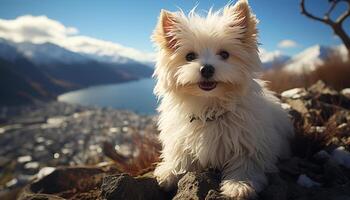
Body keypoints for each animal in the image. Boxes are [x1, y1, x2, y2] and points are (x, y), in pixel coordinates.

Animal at [152, 0, 294, 197]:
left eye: (225, 54)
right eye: (190, 56)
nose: (206, 69)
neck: (209, 107)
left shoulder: (250, 144)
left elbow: (246, 164)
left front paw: (239, 185)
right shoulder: (180, 138)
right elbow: (180, 156)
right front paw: (169, 172)